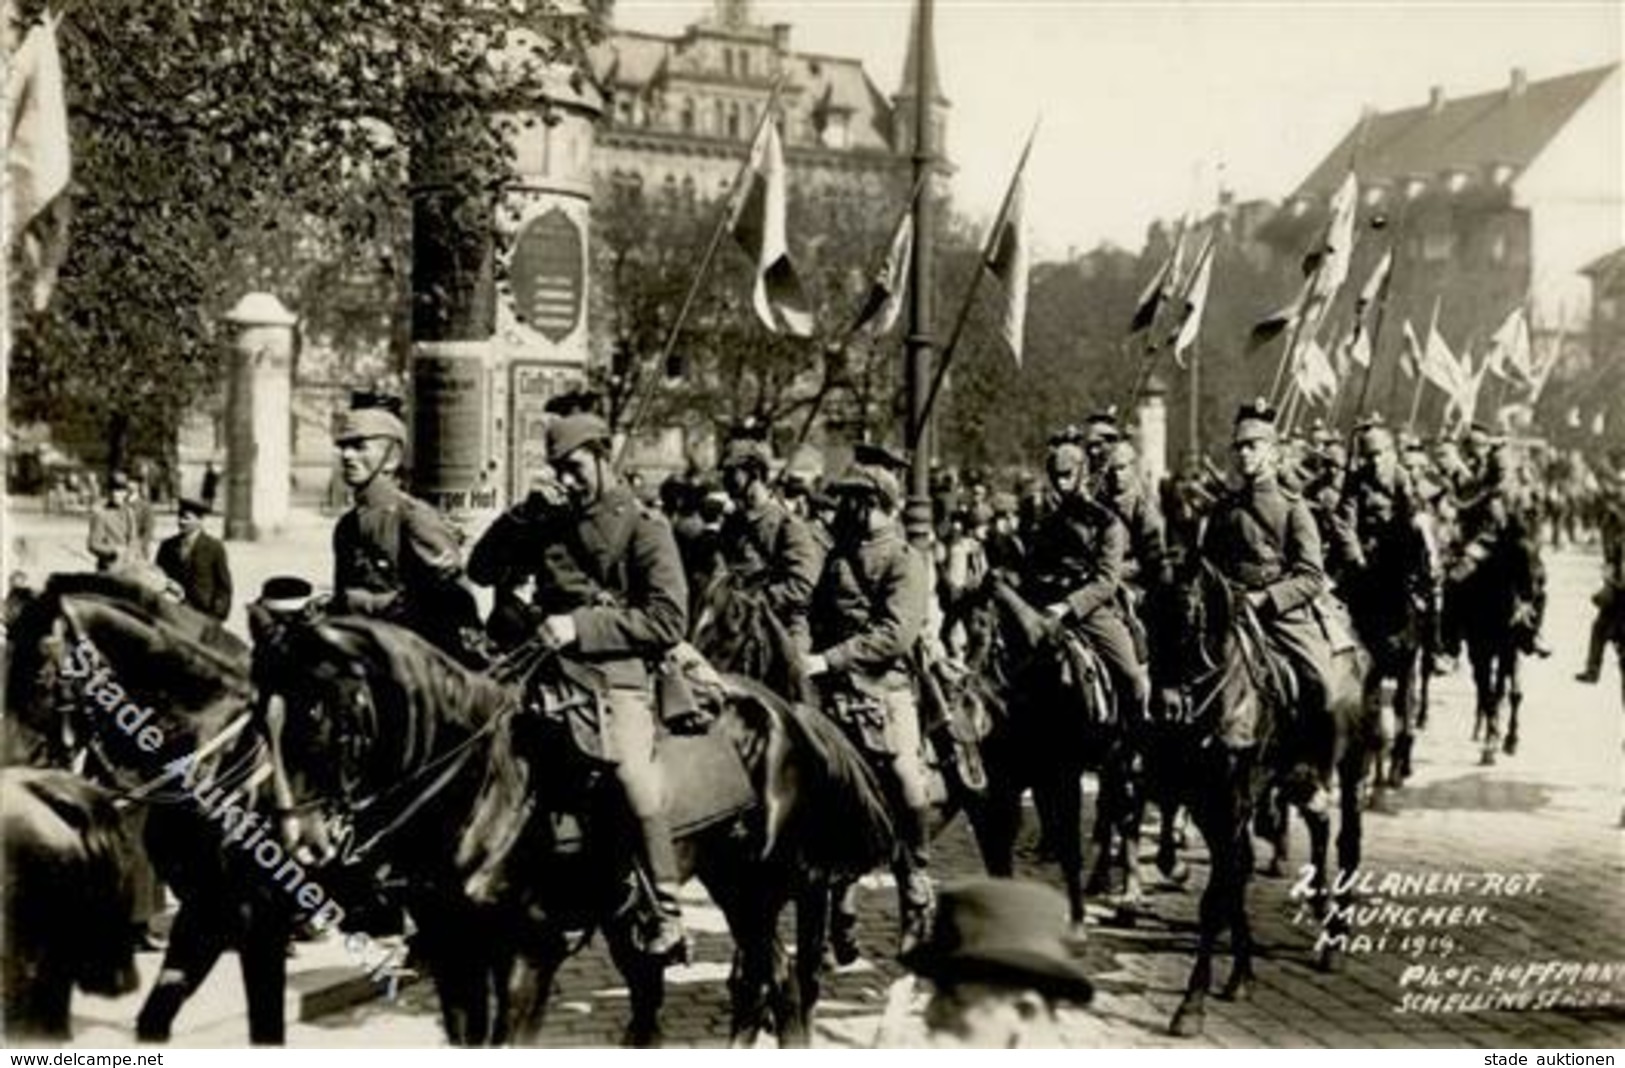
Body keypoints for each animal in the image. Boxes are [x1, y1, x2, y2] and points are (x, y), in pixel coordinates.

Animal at [271, 611, 897, 1046]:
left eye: (319, 717)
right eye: (264, 719)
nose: (302, 844)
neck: (483, 790)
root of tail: (791, 710)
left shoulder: (530, 952)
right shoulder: (456, 954)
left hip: (756, 888)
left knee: (779, 981)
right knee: (725, 990)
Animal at [1163, 562, 1378, 1040]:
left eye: (1190, 617)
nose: (1164, 707)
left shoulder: (1235, 798)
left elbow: (1217, 896)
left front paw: (1191, 1004)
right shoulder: (1206, 803)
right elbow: (1233, 877)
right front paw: (1241, 977)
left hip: (1349, 759)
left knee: (1349, 839)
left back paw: (1336, 938)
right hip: (1295, 773)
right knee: (1318, 819)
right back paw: (1318, 901)